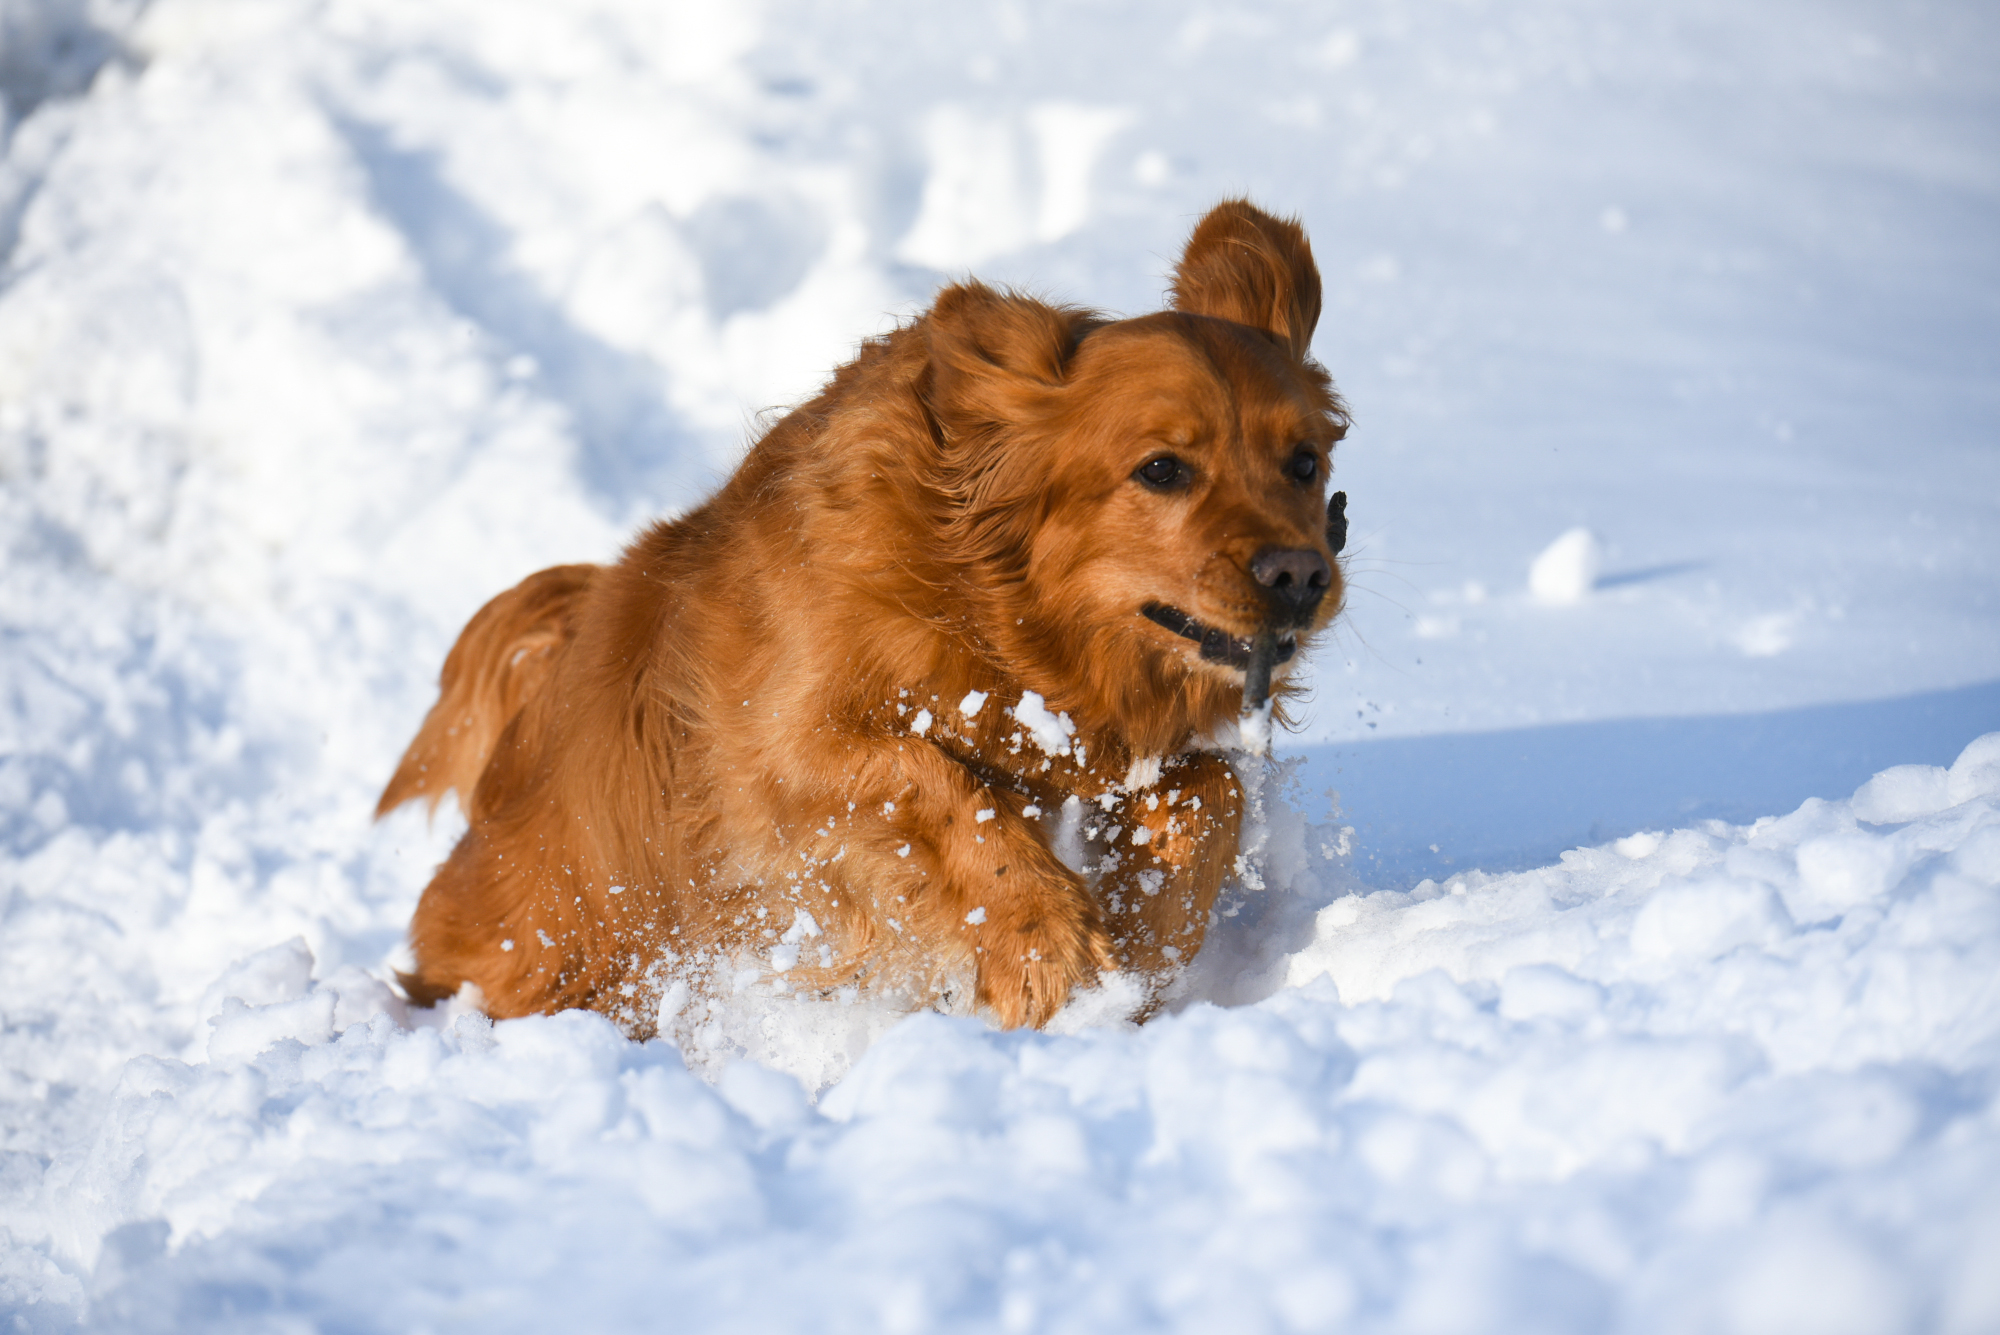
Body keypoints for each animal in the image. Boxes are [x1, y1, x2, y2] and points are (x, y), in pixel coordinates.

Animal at [376, 197, 1344, 1031]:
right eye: (1161, 469)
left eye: (1304, 462)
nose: (1301, 573)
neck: (989, 615)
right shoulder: (775, 759)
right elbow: (934, 779)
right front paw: (1042, 943)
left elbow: (1211, 788)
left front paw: (1146, 936)